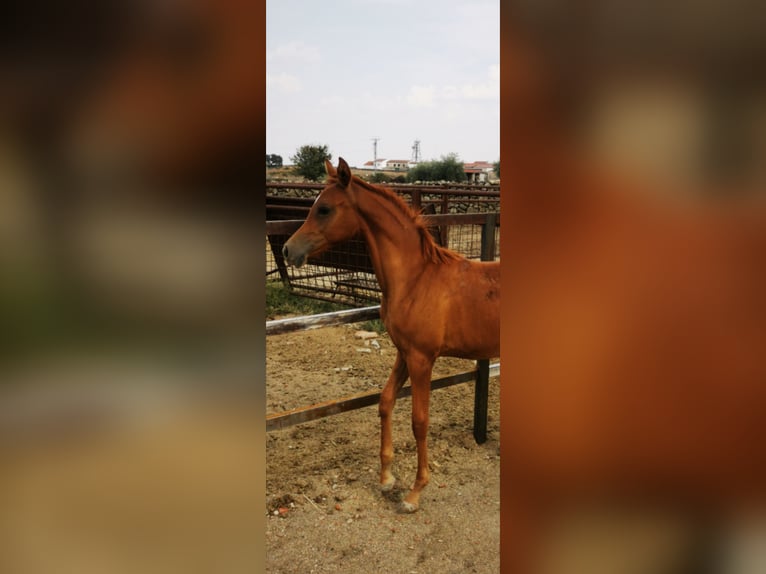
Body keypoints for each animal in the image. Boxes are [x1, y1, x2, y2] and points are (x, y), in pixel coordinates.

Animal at [282, 158, 500, 512]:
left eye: (324, 209)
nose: (289, 250)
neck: (416, 279)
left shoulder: (423, 359)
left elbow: (419, 421)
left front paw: (414, 492)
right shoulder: (403, 352)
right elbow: (385, 402)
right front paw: (386, 477)